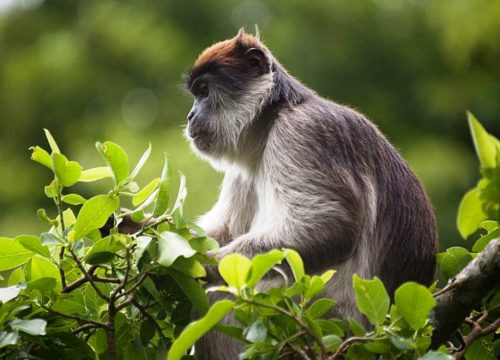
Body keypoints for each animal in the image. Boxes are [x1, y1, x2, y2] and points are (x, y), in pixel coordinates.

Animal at [184, 29, 438, 358]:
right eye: (195, 94)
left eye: (204, 91)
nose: (190, 115)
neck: (271, 118)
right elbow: (226, 229)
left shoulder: (302, 132)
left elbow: (331, 225)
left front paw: (200, 266)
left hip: (328, 317)